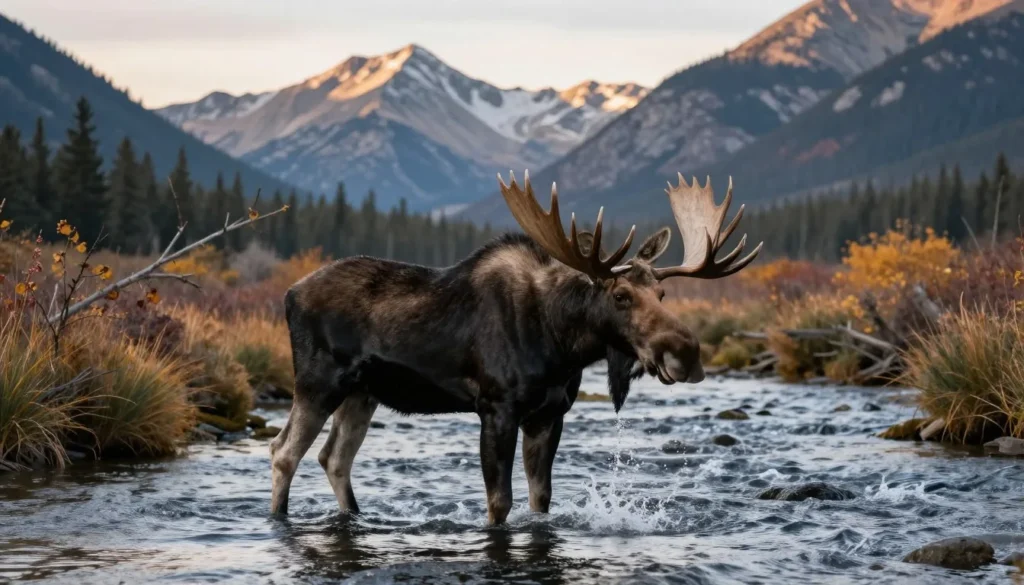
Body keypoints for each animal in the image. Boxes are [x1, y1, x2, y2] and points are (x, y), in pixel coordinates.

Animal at [270, 171, 762, 525]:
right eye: (621, 296)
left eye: (662, 294)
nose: (687, 353)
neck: (562, 343)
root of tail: (288, 294)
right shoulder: (497, 407)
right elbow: (499, 503)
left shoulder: (549, 414)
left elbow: (540, 500)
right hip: (318, 383)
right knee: (284, 452)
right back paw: (279, 518)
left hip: (363, 392)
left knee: (334, 458)